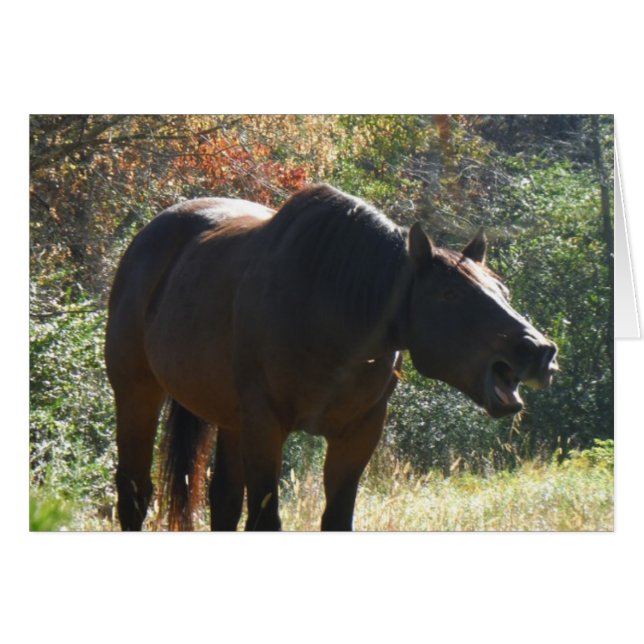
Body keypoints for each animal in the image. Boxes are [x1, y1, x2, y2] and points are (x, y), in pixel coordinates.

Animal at [105, 184, 558, 531]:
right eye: (449, 294)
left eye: (503, 291)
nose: (540, 351)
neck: (328, 308)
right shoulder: (265, 426)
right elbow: (265, 521)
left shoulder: (358, 434)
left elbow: (336, 519)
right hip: (137, 393)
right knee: (134, 494)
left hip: (230, 419)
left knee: (223, 500)